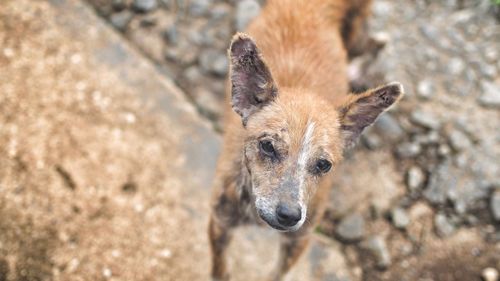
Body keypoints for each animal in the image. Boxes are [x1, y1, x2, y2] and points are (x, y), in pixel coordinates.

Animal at [209, 1, 404, 278]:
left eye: (324, 165)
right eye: (267, 146)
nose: (289, 215)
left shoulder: (299, 240)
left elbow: (277, 274)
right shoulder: (220, 222)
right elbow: (220, 269)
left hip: (358, 35)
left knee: (378, 44)